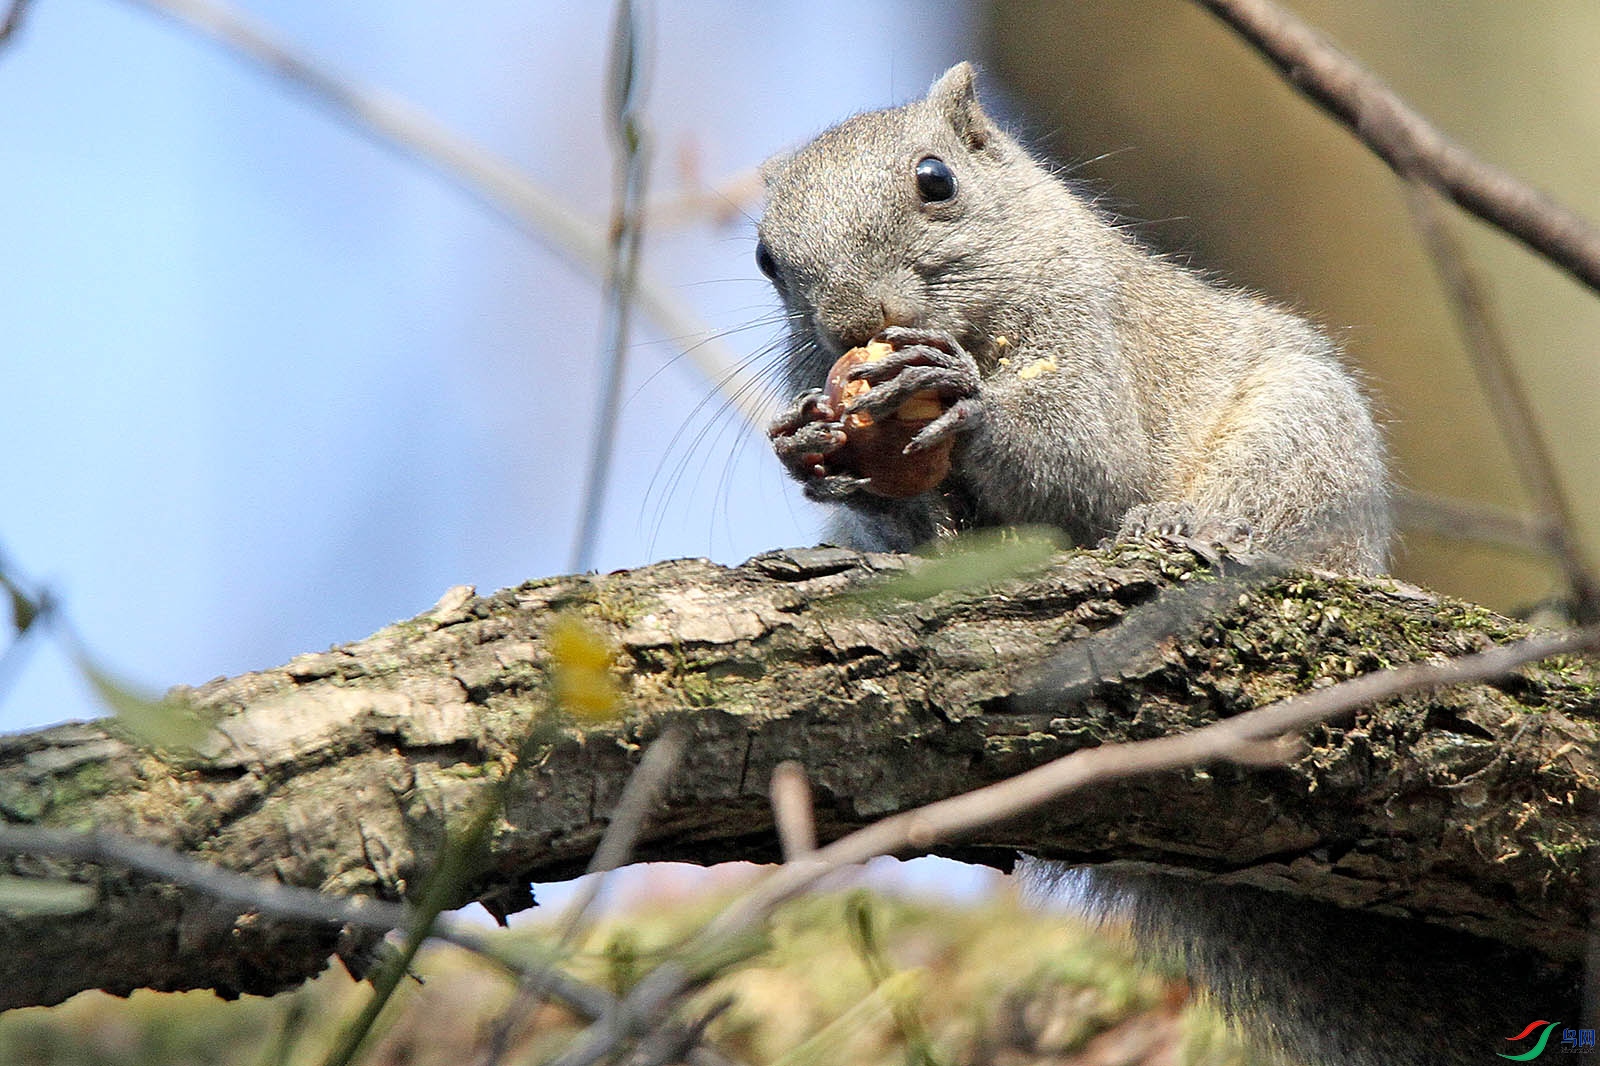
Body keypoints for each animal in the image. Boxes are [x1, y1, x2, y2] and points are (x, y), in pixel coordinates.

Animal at [758, 66, 1574, 1062]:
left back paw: (1183, 525)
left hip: (1303, 443)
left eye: (935, 180)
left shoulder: (1092, 324)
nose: (850, 323)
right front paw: (814, 450)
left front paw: (961, 397)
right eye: (764, 258)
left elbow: (1090, 458)